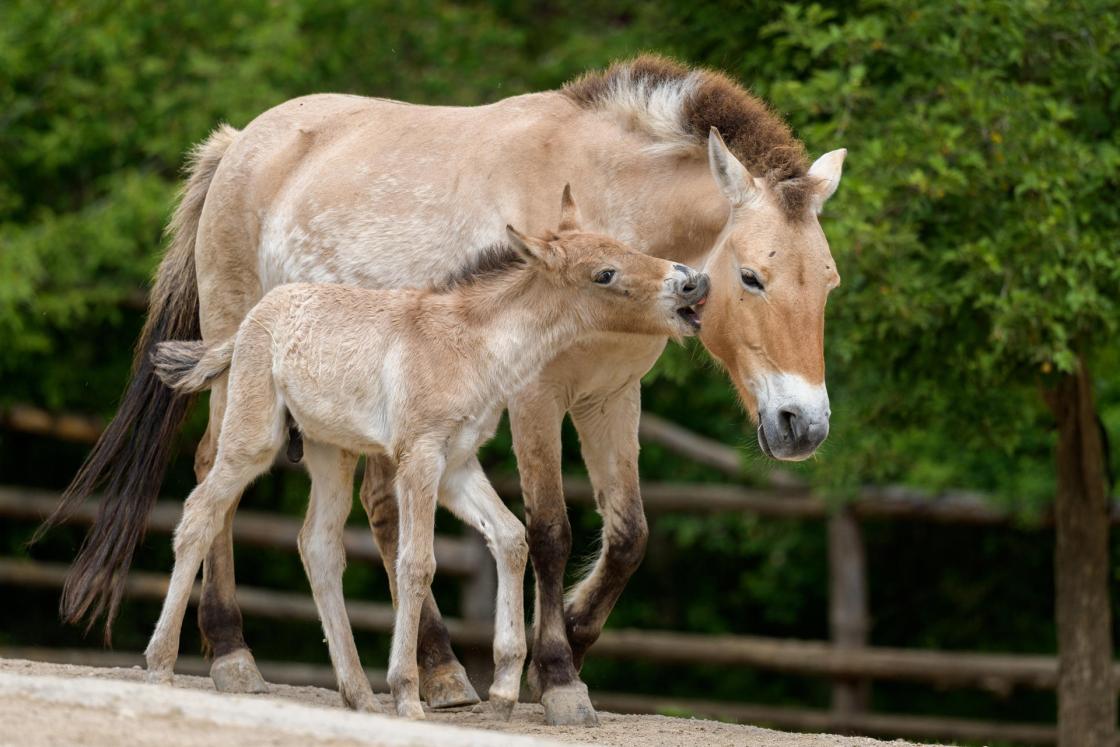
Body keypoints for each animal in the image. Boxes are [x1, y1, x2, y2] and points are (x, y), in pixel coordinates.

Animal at [45, 54, 844, 726]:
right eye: (753, 277)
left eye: (830, 282)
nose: (802, 425)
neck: (608, 185)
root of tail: (239, 143)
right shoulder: (536, 398)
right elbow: (551, 530)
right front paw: (558, 677)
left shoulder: (610, 396)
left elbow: (626, 537)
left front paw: (565, 646)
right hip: (237, 356)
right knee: (215, 473)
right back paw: (232, 653)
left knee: (371, 513)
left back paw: (438, 673)